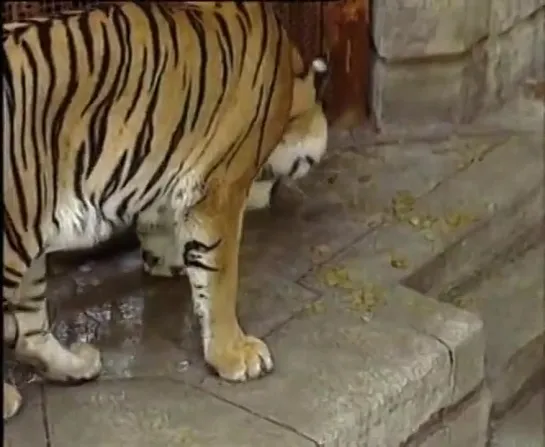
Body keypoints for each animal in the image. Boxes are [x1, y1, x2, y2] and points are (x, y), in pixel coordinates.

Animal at [2, 0, 328, 420]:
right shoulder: (220, 186)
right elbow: (220, 279)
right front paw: (234, 354)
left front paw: (166, 262)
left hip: (29, 219)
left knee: (30, 326)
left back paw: (74, 366)